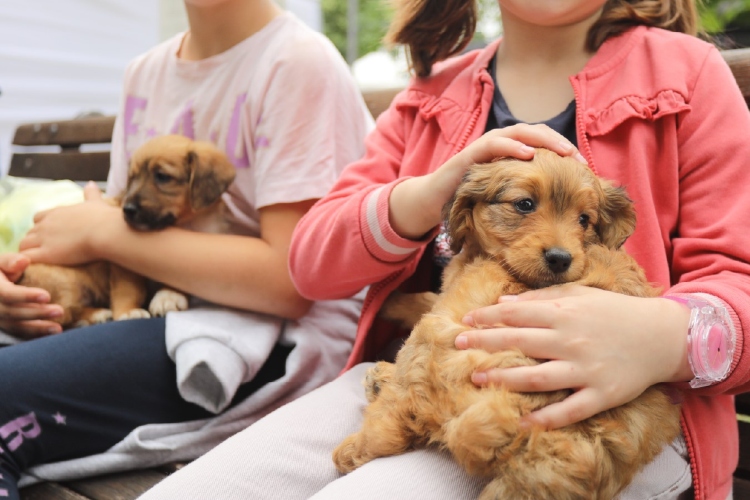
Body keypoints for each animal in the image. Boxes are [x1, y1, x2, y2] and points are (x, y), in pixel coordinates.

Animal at [16, 134, 235, 328]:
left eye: (162, 176)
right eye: (132, 178)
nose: (127, 210)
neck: (187, 222)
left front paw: (168, 295)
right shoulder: (123, 264)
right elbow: (129, 289)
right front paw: (129, 311)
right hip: (65, 280)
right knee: (63, 313)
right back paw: (96, 314)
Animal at [338, 149, 684, 500]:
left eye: (584, 219)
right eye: (524, 204)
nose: (560, 258)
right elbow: (428, 294)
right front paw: (393, 301)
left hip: (431, 350)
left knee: (389, 421)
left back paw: (352, 445)